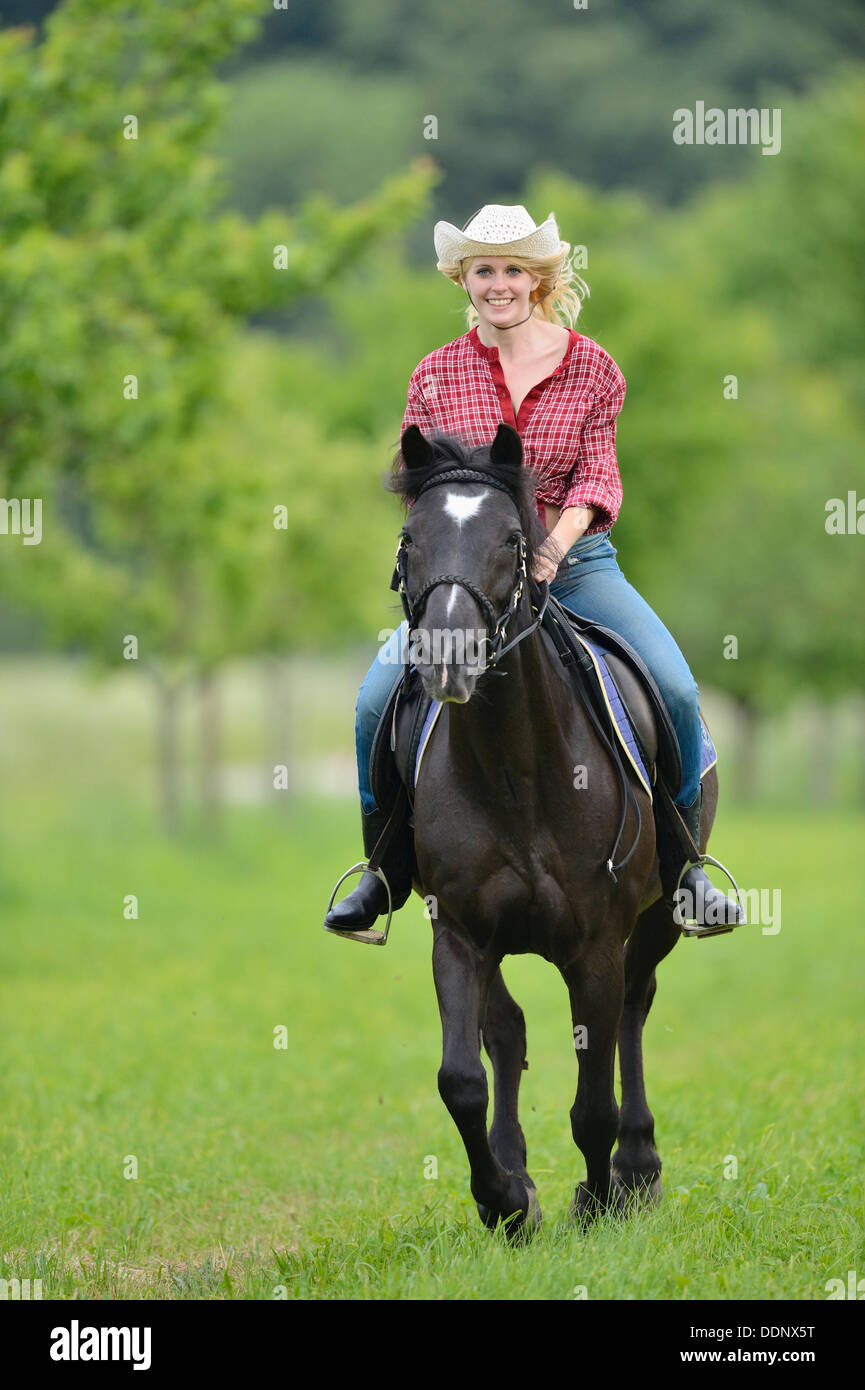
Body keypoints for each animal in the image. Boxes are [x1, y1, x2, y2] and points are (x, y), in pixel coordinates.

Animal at [377, 421, 721, 1237]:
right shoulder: (459, 934)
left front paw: (597, 1203)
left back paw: (637, 1168)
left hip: (659, 919)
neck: (516, 769)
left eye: (510, 538)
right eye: (410, 538)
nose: (447, 657)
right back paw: (517, 1173)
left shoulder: (595, 945)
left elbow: (593, 1099)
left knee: (632, 1011)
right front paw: (502, 1200)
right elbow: (462, 1077)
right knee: (507, 1033)